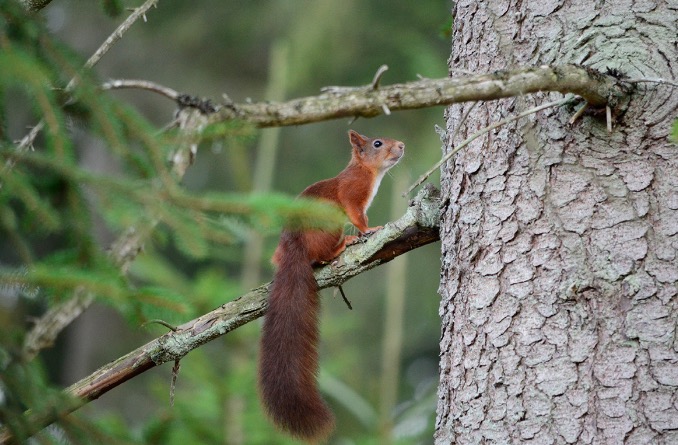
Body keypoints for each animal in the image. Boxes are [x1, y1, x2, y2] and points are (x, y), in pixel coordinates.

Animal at [258, 128, 404, 440]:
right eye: (377, 143)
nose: (401, 145)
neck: (367, 171)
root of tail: (294, 248)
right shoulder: (352, 193)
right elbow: (358, 215)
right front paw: (369, 230)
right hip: (329, 224)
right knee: (322, 255)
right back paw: (342, 245)